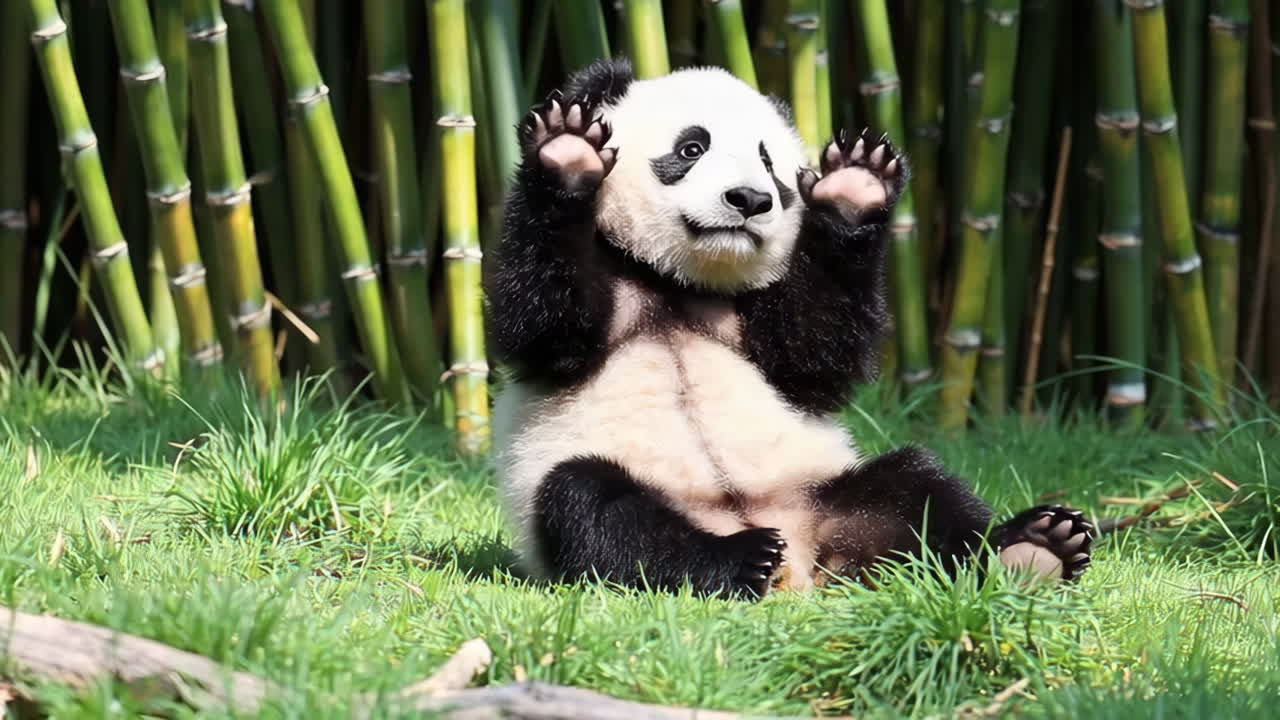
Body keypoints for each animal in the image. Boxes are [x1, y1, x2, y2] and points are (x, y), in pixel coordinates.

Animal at [484, 57, 1094, 599]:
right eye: (691, 148)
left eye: (770, 165)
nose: (750, 199)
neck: (676, 279)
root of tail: (796, 561)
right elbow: (546, 325)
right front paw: (569, 156)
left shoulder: (758, 316)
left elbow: (811, 357)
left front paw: (853, 191)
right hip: (603, 486)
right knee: (597, 509)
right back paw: (736, 559)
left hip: (819, 490)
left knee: (917, 490)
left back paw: (1034, 548)